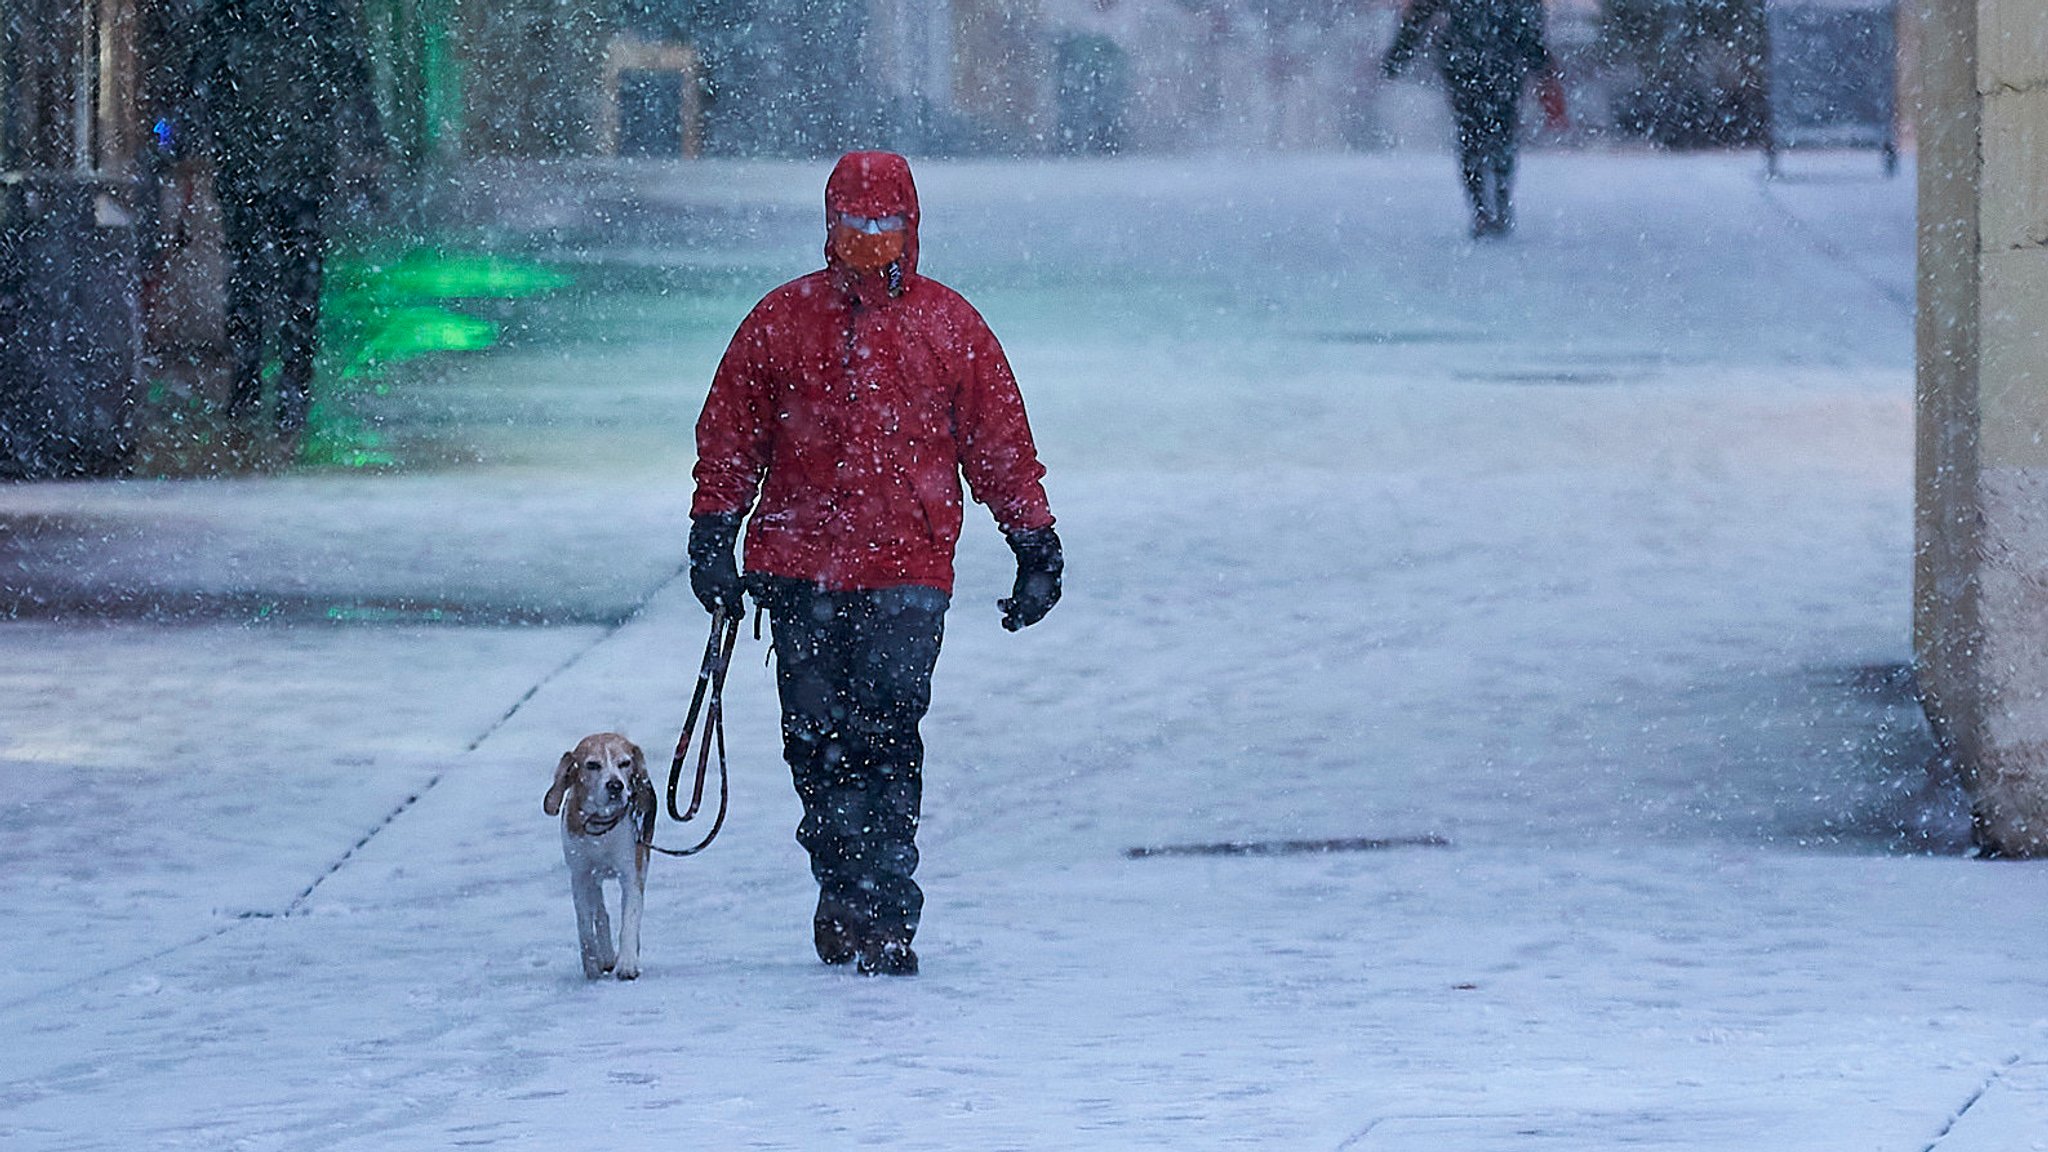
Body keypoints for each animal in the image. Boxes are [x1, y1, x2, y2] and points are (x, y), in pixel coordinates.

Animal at [540, 729, 651, 971]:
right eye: (592, 765)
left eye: (625, 763)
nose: (615, 785)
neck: (601, 827)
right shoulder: (580, 875)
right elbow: (584, 925)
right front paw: (591, 963)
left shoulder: (631, 874)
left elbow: (630, 918)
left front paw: (627, 963)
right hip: (592, 878)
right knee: (599, 912)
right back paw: (606, 955)